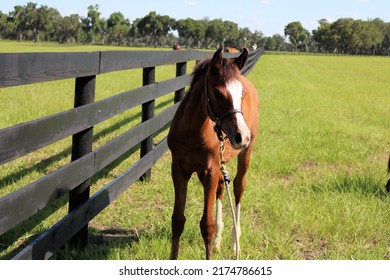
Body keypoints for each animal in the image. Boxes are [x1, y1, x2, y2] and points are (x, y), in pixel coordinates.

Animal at [168, 47, 258, 260]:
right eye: (217, 93)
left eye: (242, 93)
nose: (242, 136)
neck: (192, 133)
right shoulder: (179, 170)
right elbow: (177, 220)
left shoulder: (209, 171)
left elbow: (205, 225)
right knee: (221, 188)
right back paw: (218, 240)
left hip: (244, 155)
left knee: (238, 187)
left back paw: (235, 244)